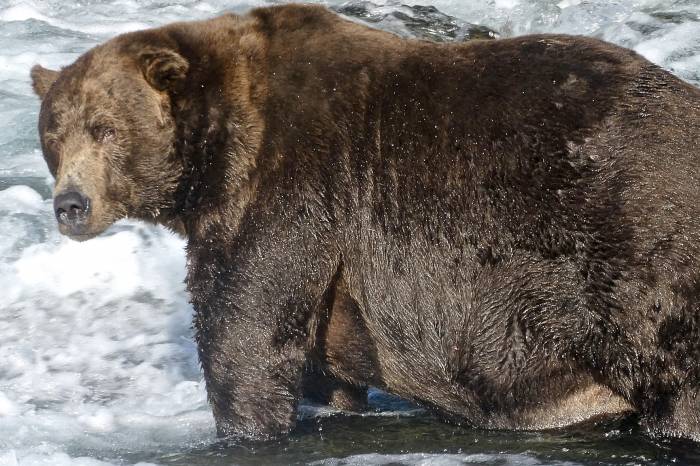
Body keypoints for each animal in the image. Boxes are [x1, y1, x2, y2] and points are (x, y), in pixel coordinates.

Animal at [30, 3, 700, 442]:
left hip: (633, 250)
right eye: (54, 133)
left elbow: (244, 332)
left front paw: (244, 426)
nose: (71, 204)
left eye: (105, 127)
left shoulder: (291, 187)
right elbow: (319, 368)